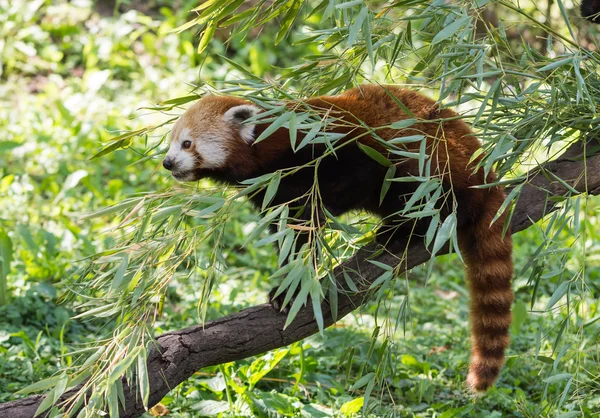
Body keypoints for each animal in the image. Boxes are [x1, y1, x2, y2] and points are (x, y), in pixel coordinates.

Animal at [162, 85, 512, 392]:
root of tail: (484, 168)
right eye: (172, 142)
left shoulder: (331, 148)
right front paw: (288, 285)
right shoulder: (274, 191)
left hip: (434, 164)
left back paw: (402, 229)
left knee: (425, 196)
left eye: (187, 143)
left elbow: (351, 181)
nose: (167, 162)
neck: (272, 145)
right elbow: (291, 237)